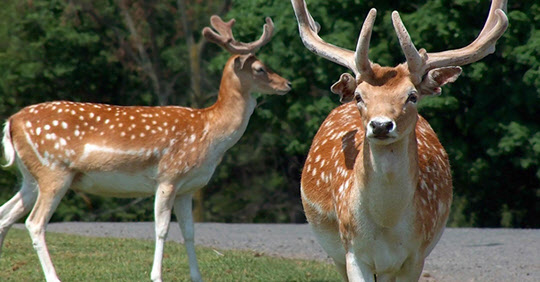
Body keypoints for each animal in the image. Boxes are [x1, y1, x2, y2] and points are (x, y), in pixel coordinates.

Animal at [0, 15, 292, 282]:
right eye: (260, 68)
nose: (288, 84)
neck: (210, 133)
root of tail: (12, 121)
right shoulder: (168, 177)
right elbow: (162, 229)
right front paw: (156, 276)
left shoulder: (189, 188)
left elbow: (189, 232)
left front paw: (196, 276)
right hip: (54, 170)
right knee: (34, 223)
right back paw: (54, 277)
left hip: (31, 176)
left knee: (6, 214)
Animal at [292, 0, 506, 280]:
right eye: (360, 96)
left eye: (412, 96)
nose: (381, 125)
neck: (386, 222)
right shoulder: (353, 252)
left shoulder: (416, 255)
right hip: (336, 250)